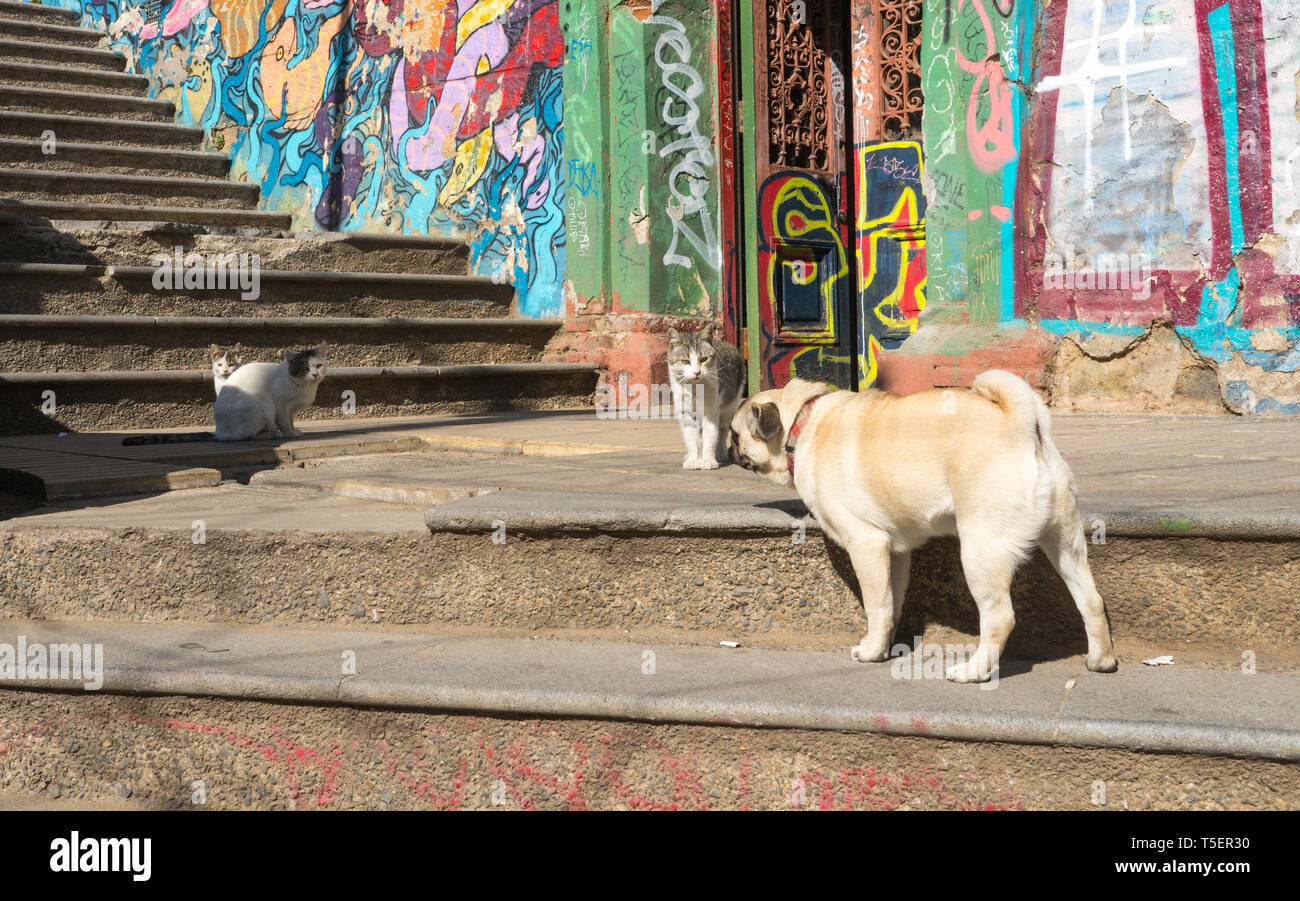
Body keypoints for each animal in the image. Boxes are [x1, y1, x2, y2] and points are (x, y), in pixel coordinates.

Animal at [665, 323, 748, 468]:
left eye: (703, 359)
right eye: (685, 361)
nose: (697, 372)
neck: (694, 388)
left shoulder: (711, 411)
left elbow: (710, 436)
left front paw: (708, 460)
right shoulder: (685, 412)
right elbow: (691, 438)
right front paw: (693, 460)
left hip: (729, 407)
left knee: (722, 432)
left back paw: (720, 454)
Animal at [733, 369, 1118, 676]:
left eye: (734, 433)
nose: (727, 447)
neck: (802, 422)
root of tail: (1021, 424)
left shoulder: (866, 544)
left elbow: (876, 604)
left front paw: (871, 651)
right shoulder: (894, 552)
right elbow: (891, 603)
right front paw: (883, 646)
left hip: (981, 550)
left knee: (999, 617)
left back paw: (973, 672)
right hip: (1063, 539)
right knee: (1091, 600)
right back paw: (1100, 660)